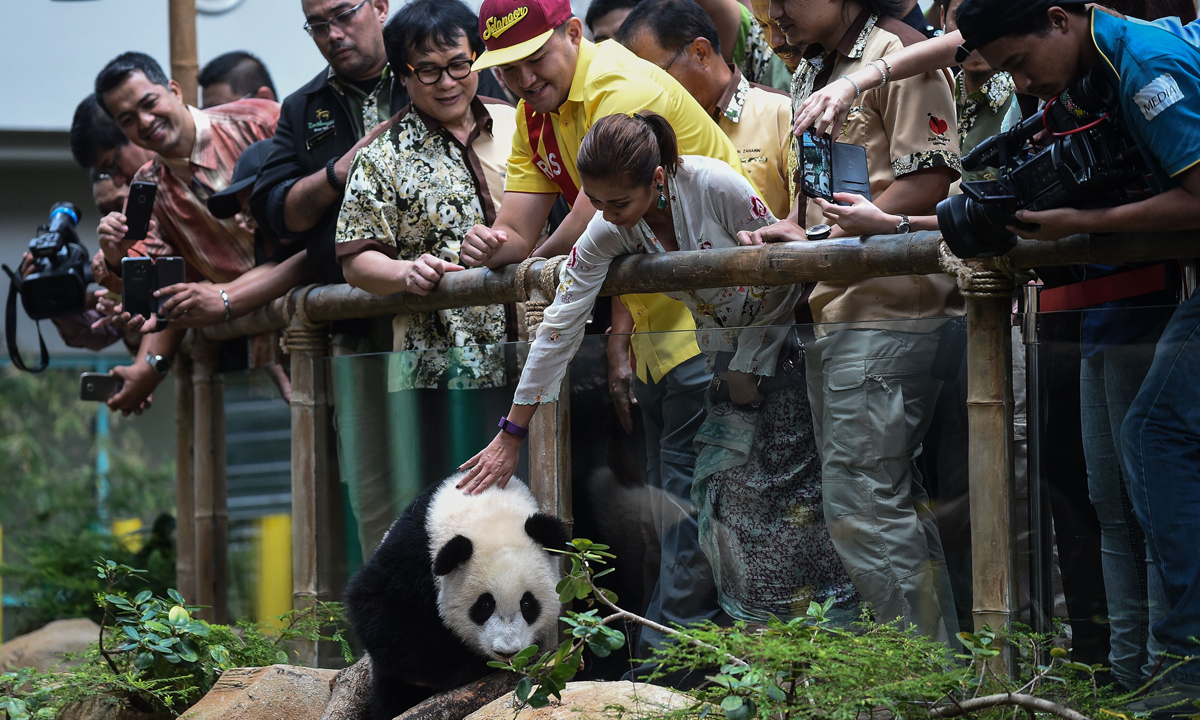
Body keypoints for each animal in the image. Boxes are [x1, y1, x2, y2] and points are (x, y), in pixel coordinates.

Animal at [344, 473, 569, 720]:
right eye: (485, 605)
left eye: (527, 604)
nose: (506, 651)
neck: (489, 508)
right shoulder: (416, 551)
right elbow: (377, 604)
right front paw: (468, 668)